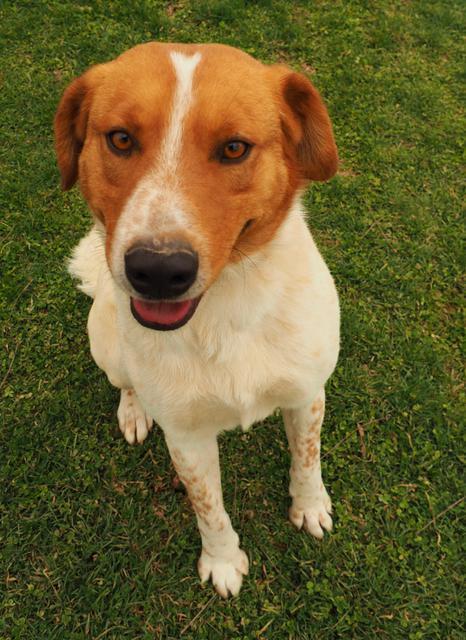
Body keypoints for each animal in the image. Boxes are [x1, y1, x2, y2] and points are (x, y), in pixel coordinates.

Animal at [54, 42, 340, 596]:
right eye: (121, 139)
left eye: (234, 148)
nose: (158, 270)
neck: (226, 311)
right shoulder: (186, 437)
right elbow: (210, 509)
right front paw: (223, 562)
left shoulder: (307, 394)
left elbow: (307, 458)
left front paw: (310, 506)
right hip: (106, 344)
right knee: (126, 382)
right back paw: (133, 411)